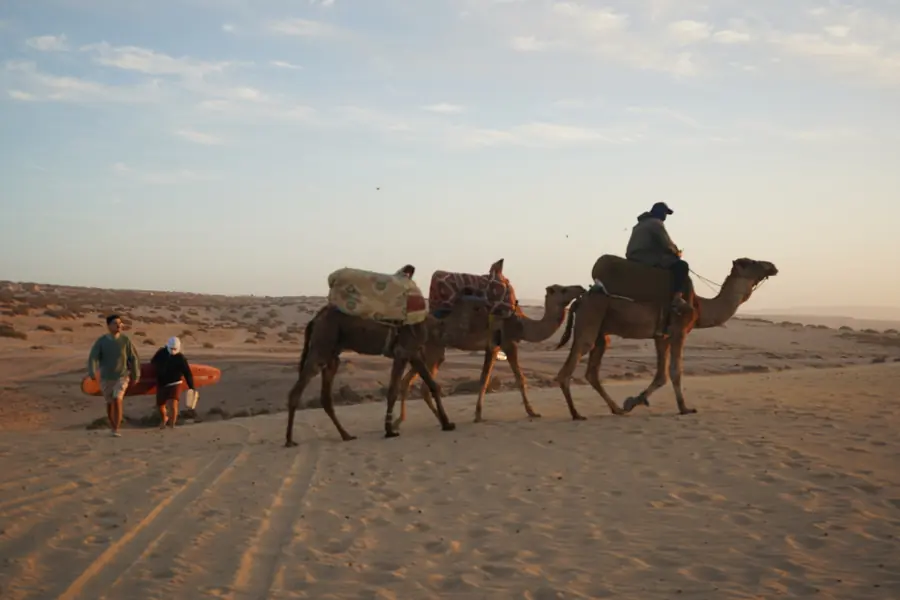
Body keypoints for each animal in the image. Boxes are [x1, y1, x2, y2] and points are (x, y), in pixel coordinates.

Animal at [284, 266, 490, 447]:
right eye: (479, 306)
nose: (492, 311)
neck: (433, 326)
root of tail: (315, 319)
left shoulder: (410, 354)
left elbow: (423, 386)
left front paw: (445, 423)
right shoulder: (405, 351)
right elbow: (401, 389)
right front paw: (391, 430)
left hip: (332, 355)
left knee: (326, 397)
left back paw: (346, 435)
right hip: (322, 346)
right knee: (297, 390)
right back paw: (289, 440)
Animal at [395, 283, 587, 428]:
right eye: (563, 289)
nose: (580, 288)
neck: (522, 325)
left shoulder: (493, 348)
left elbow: (484, 379)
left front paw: (478, 414)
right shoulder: (509, 343)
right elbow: (519, 378)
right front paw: (532, 411)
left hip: (425, 351)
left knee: (407, 381)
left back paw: (402, 421)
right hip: (434, 349)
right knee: (422, 385)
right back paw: (440, 421)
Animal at [554, 257, 779, 419]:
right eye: (752, 262)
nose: (772, 266)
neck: (699, 307)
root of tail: (579, 300)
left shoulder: (661, 336)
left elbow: (661, 374)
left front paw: (633, 401)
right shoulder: (679, 330)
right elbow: (675, 371)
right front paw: (685, 408)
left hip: (602, 334)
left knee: (592, 372)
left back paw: (616, 409)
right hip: (590, 322)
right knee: (568, 368)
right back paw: (576, 414)